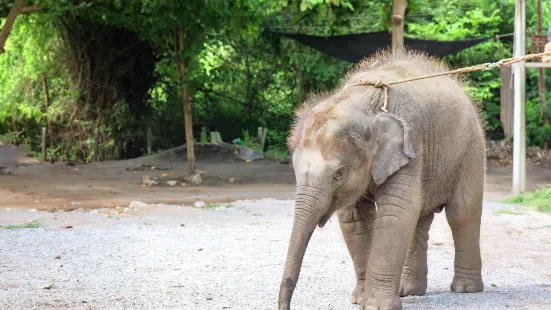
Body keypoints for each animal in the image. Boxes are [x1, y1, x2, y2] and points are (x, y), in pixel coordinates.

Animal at [278, 49, 486, 308]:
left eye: (339, 174)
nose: (285, 306)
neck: (363, 102)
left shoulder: (410, 145)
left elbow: (395, 212)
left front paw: (377, 305)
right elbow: (354, 218)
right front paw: (360, 300)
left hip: (471, 150)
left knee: (461, 213)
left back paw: (465, 289)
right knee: (419, 217)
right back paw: (408, 291)